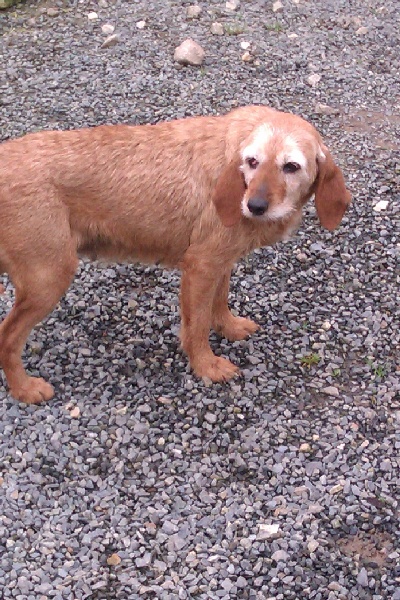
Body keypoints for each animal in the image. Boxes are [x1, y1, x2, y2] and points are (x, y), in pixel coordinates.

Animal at [0, 105, 351, 404]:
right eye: (252, 161)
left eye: (291, 167)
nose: (255, 206)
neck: (234, 169)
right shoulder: (200, 267)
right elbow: (197, 326)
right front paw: (206, 365)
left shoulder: (220, 262)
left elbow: (220, 301)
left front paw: (228, 327)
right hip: (49, 277)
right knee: (7, 337)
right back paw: (24, 388)